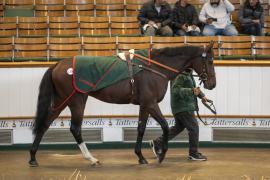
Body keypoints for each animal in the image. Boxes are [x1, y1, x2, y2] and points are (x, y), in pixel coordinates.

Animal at [28, 41, 216, 167]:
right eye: (210, 61)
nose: (212, 84)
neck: (154, 68)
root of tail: (58, 64)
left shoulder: (144, 105)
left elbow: (141, 129)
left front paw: (141, 156)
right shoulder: (150, 103)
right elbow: (163, 125)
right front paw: (161, 154)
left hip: (62, 100)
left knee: (45, 123)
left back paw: (33, 157)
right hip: (76, 101)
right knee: (75, 128)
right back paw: (91, 158)